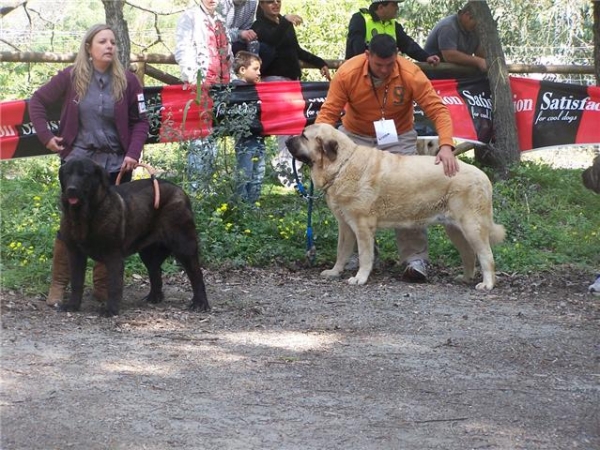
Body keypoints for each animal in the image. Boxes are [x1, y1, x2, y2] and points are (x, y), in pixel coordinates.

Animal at [58, 158, 209, 316]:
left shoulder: (113, 255)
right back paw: (154, 297)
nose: (71, 189)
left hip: (184, 245)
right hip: (148, 252)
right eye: (67, 173)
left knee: (196, 274)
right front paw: (72, 305)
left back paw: (200, 303)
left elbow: (114, 285)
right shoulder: (75, 253)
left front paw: (110, 310)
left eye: (84, 174)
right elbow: (76, 281)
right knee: (155, 272)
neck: (83, 216)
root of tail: (180, 190)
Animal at [286, 124, 506, 288]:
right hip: (455, 229)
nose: (287, 139)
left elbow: (365, 255)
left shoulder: (362, 226)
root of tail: (483, 177)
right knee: (469, 254)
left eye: (303, 136)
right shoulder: (346, 226)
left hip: (471, 226)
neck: (341, 165)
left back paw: (487, 284)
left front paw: (360, 278)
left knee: (486, 255)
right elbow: (341, 252)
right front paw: (334, 272)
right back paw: (465, 278)